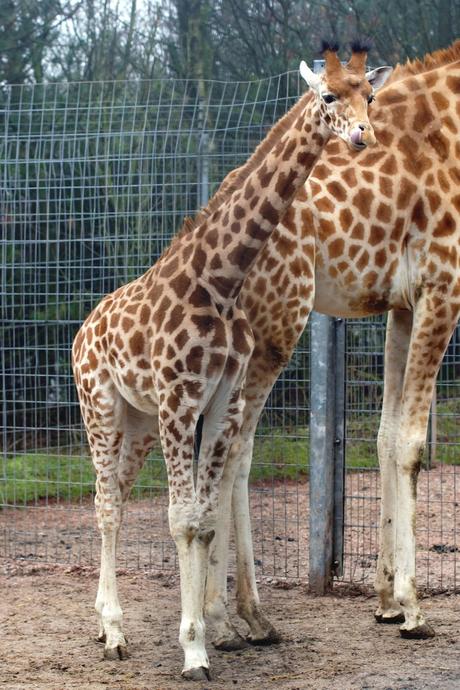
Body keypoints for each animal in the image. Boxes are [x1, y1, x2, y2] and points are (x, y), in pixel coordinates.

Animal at [73, 40, 392, 676]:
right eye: (328, 96)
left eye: (369, 95)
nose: (362, 135)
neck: (218, 283)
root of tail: (79, 336)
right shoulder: (179, 399)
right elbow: (181, 518)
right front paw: (194, 646)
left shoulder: (218, 398)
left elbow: (201, 518)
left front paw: (205, 635)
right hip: (101, 410)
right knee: (106, 506)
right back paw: (116, 633)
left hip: (136, 423)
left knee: (115, 493)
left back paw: (101, 624)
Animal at [204, 41, 460, 644]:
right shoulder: (443, 287)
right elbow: (412, 443)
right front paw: (413, 608)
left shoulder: (403, 304)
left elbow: (387, 437)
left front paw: (386, 601)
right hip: (276, 325)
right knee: (235, 450)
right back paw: (232, 619)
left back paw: (236, 618)